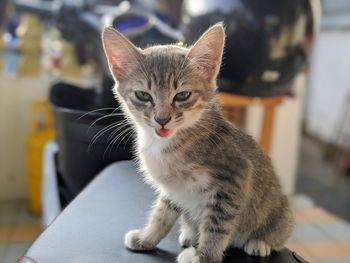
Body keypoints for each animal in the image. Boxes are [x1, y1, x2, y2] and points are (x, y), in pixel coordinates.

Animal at [102, 23, 296, 263]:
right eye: (143, 95)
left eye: (182, 95)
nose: (162, 119)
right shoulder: (172, 190)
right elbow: (162, 214)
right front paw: (147, 238)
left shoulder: (234, 179)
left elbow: (217, 225)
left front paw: (204, 256)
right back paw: (189, 233)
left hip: (280, 214)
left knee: (275, 233)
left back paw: (259, 242)